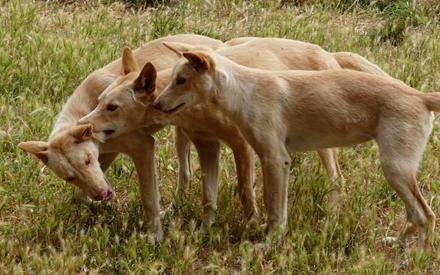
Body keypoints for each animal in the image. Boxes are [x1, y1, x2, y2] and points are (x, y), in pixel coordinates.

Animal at [17, 34, 225, 242]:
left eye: (87, 160)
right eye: (69, 178)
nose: (101, 194)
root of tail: (216, 42)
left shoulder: (143, 148)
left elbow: (149, 199)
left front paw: (155, 237)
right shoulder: (107, 154)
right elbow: (79, 197)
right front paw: (102, 206)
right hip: (181, 132)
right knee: (186, 172)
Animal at [152, 48, 436, 252]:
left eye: (181, 80)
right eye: (174, 79)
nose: (155, 104)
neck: (245, 91)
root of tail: (420, 97)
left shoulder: (275, 160)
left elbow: (274, 208)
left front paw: (267, 244)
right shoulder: (276, 161)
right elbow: (276, 208)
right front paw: (269, 236)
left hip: (395, 169)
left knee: (426, 215)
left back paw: (418, 259)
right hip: (398, 171)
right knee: (414, 216)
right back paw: (397, 244)